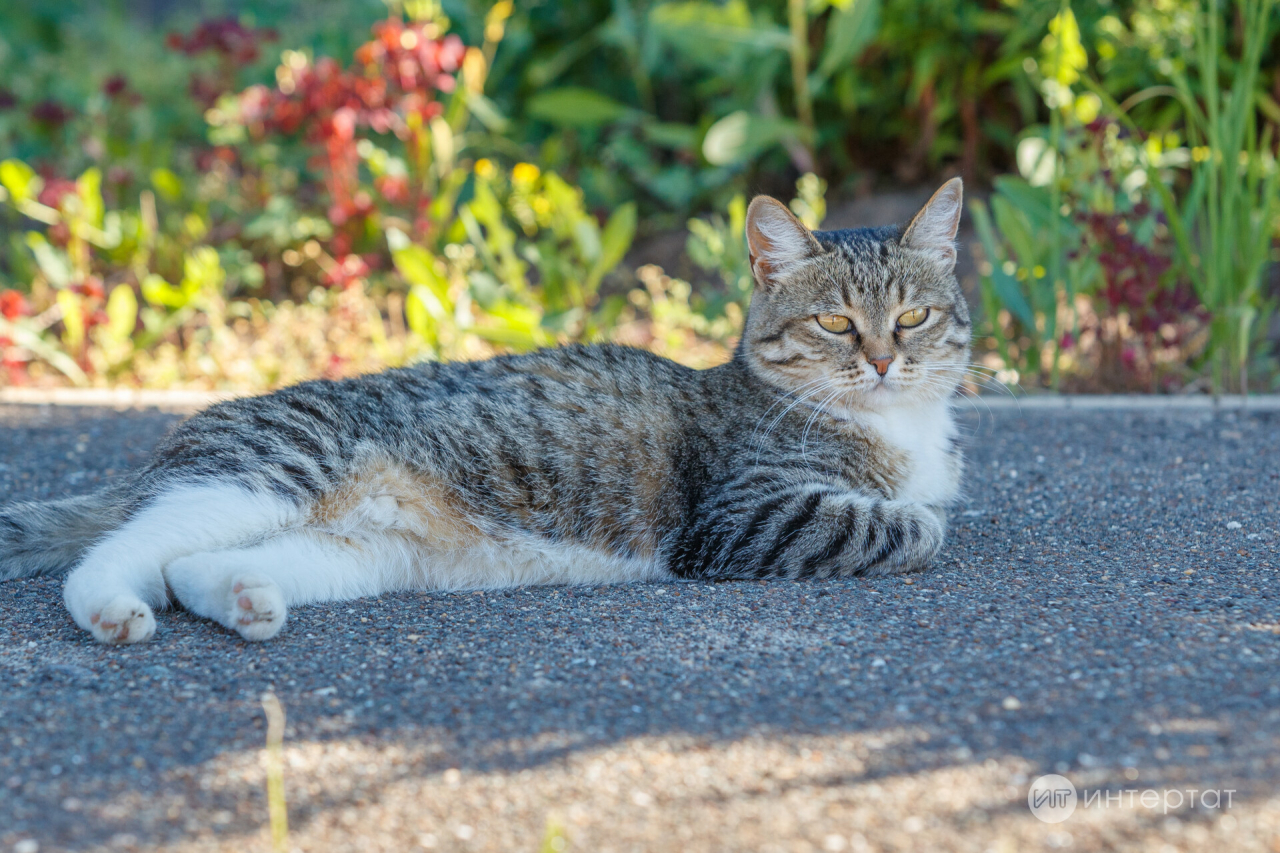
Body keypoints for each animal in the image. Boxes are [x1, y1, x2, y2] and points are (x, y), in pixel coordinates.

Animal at [0, 180, 967, 645]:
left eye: (914, 316)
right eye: (836, 323)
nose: (885, 361)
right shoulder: (741, 517)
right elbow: (915, 525)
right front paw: (914, 515)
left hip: (357, 554)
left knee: (191, 566)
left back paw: (244, 601)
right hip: (269, 470)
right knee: (112, 554)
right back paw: (112, 609)